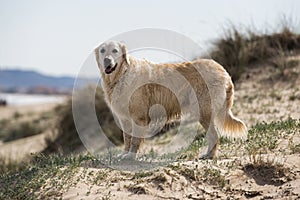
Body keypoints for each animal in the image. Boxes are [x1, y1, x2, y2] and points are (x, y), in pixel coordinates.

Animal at [94, 40, 246, 159]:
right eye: (102, 50)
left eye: (115, 51)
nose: (107, 60)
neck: (121, 75)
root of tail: (223, 71)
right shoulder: (124, 119)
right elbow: (127, 138)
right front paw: (125, 154)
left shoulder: (138, 117)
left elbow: (135, 140)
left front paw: (131, 156)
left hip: (203, 110)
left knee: (214, 135)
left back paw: (209, 155)